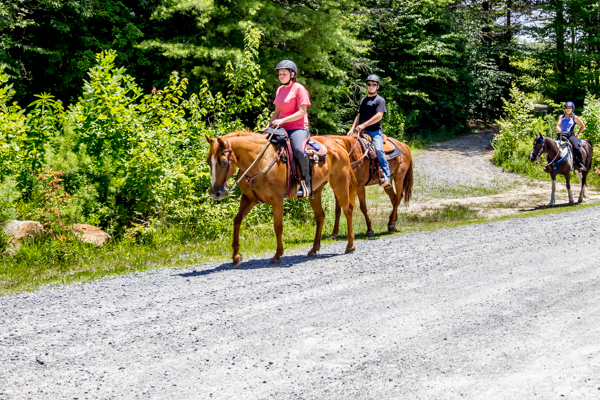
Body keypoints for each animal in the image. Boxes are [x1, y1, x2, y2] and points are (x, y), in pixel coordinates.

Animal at [206, 131, 356, 266]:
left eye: (223, 162)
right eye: (208, 161)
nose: (215, 193)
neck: (260, 161)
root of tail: (337, 144)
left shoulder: (277, 201)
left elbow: (278, 227)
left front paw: (277, 255)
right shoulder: (249, 199)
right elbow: (237, 220)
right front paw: (236, 256)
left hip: (339, 184)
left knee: (348, 210)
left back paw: (350, 245)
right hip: (316, 192)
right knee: (320, 216)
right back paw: (313, 250)